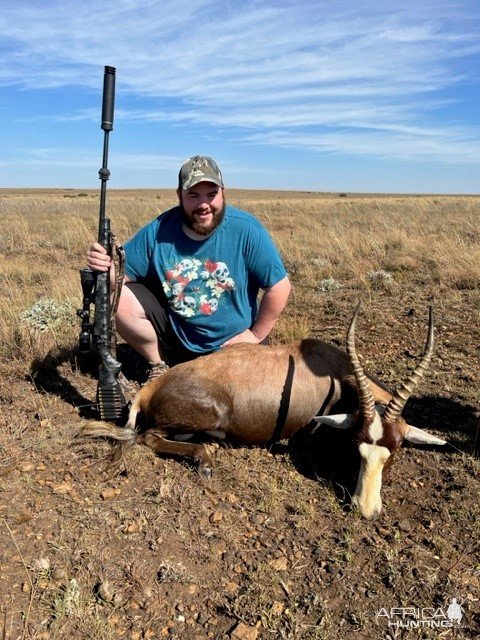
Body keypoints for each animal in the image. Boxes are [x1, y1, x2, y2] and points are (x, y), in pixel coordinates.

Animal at [82, 304, 446, 520]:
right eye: (355, 447)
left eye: (394, 451)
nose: (366, 511)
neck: (332, 373)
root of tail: (150, 388)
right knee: (148, 438)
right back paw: (206, 459)